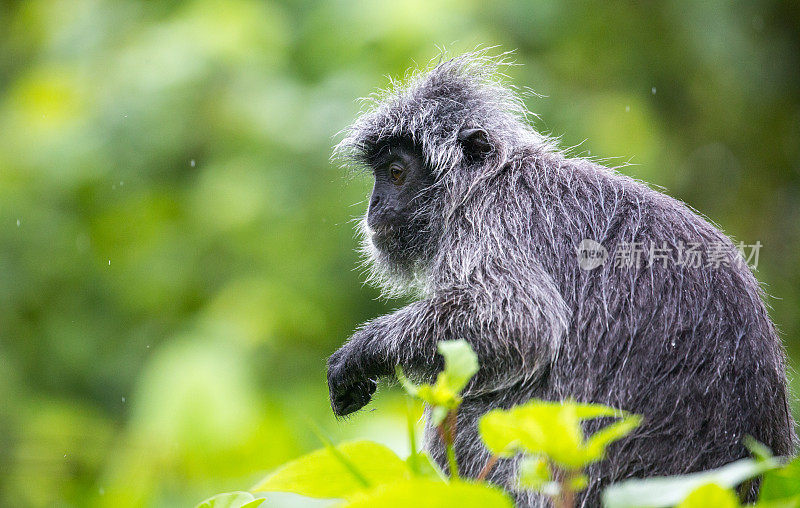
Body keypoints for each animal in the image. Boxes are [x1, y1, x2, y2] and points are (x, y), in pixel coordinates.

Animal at [324, 51, 792, 504]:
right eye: (379, 175)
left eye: (396, 172)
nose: (374, 204)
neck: (487, 182)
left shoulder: (497, 218)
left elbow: (520, 321)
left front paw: (361, 352)